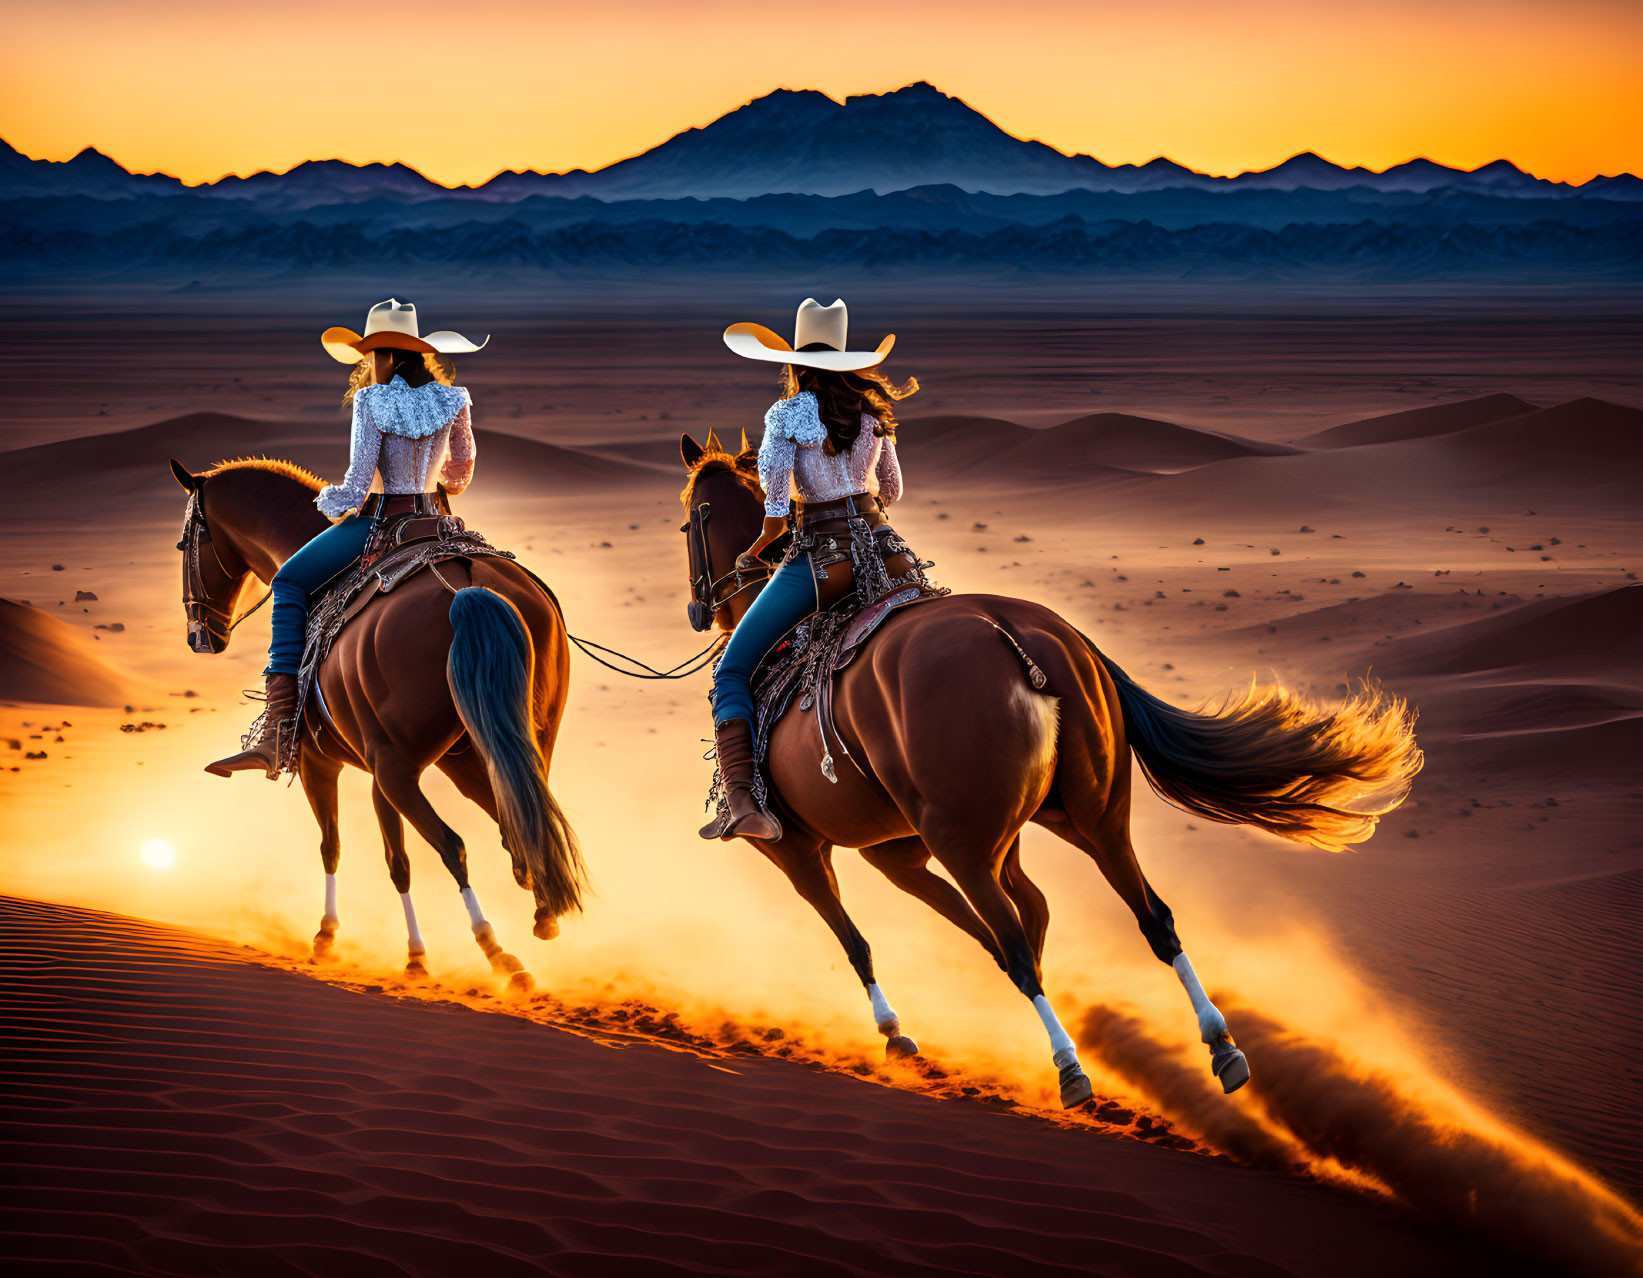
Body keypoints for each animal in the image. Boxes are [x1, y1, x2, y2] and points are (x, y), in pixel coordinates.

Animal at [170, 453, 581, 979]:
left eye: (186, 543)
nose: (199, 636)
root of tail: (467, 587)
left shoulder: (322, 764)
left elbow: (335, 846)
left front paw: (327, 936)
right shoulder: (414, 768)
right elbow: (399, 859)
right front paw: (415, 956)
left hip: (397, 768)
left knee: (453, 845)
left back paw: (498, 953)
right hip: (505, 744)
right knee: (527, 824)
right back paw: (542, 916)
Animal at [673, 433, 1419, 1097]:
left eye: (690, 518)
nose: (699, 605)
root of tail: (1012, 628)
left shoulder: (799, 850)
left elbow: (859, 939)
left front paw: (896, 1034)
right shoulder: (896, 850)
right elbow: (993, 926)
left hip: (965, 842)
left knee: (1016, 940)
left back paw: (1071, 1067)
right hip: (1086, 815)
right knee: (1142, 917)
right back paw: (1217, 1046)